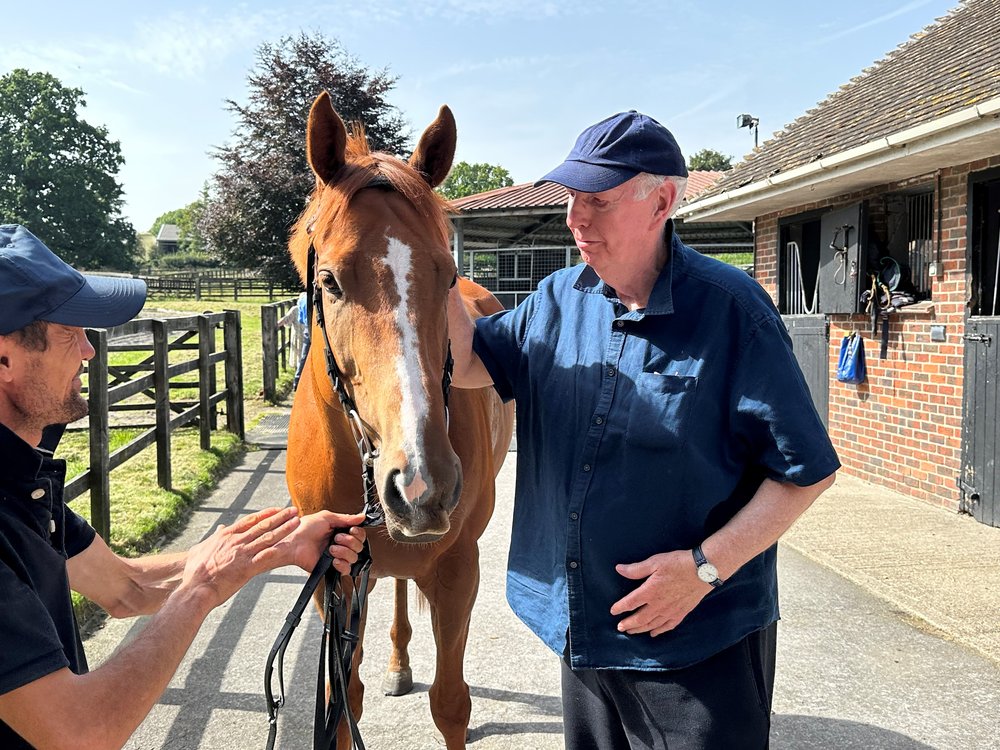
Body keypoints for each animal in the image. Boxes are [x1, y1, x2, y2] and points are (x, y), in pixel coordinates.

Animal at [286, 89, 512, 750]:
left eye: (445, 273)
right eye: (330, 280)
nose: (421, 484)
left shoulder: (459, 571)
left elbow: (451, 703)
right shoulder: (331, 580)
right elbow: (342, 703)